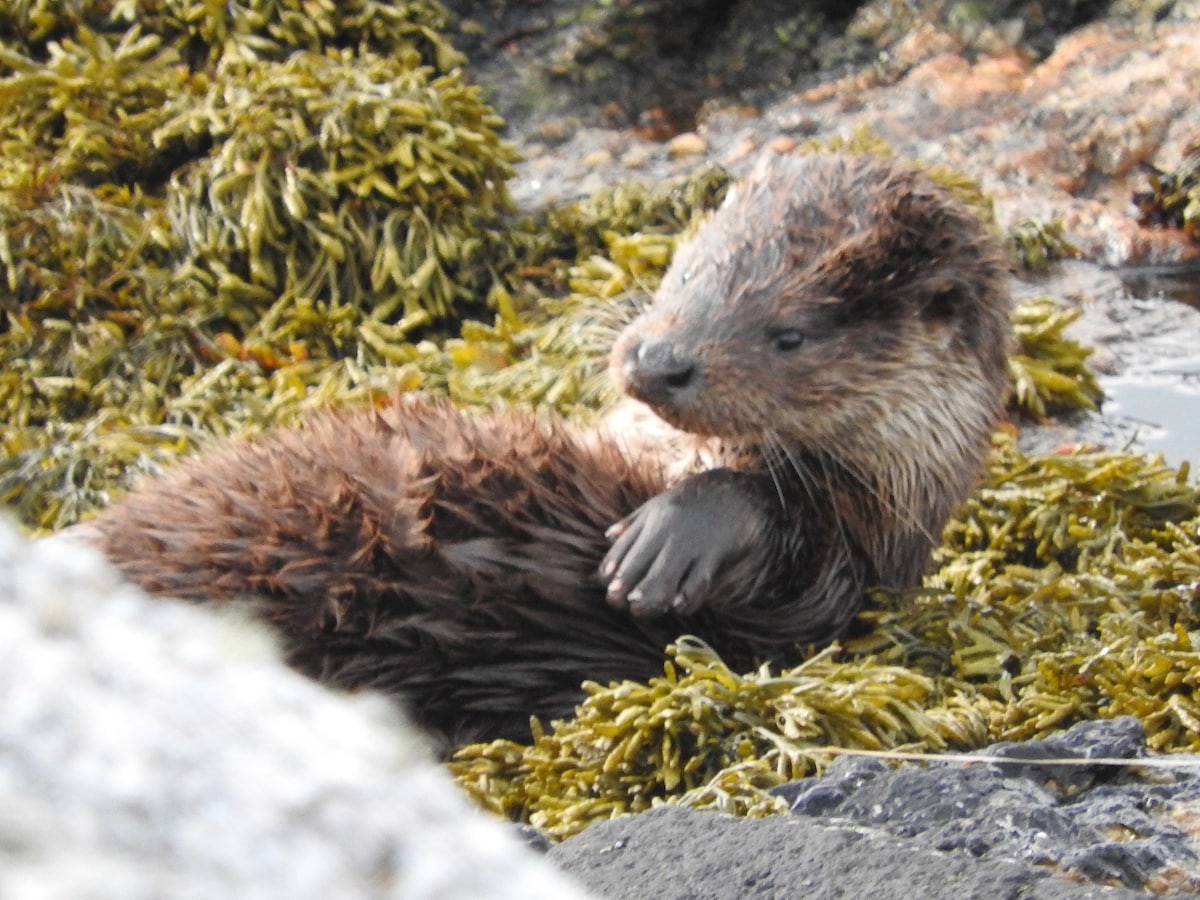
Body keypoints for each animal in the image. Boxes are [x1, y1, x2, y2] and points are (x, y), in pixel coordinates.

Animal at [75, 153, 1012, 748]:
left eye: (790, 334)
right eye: (688, 274)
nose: (660, 360)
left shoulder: (844, 565)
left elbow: (770, 526)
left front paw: (666, 544)